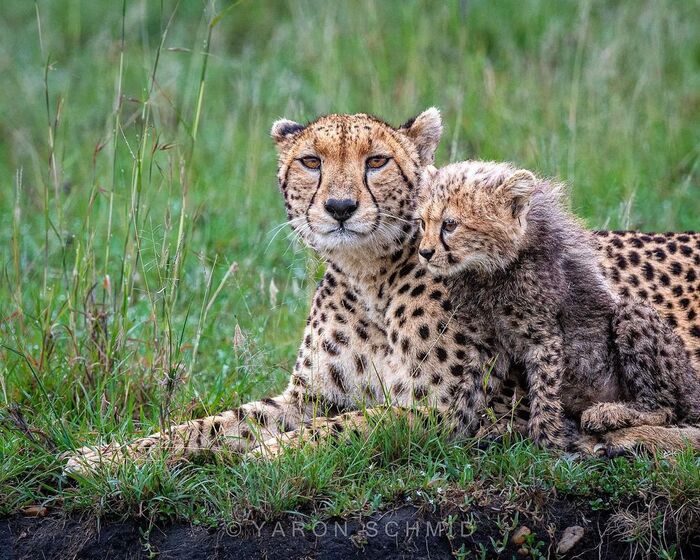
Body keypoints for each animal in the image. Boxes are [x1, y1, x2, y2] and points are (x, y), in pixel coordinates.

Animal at [415, 160, 700, 449]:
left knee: (664, 408)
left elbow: (545, 393)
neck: (489, 271)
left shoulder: (545, 340)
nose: (424, 253)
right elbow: (469, 390)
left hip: (635, 316)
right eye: (422, 223)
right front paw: (449, 436)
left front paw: (547, 446)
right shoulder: (486, 345)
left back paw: (607, 414)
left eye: (450, 224)